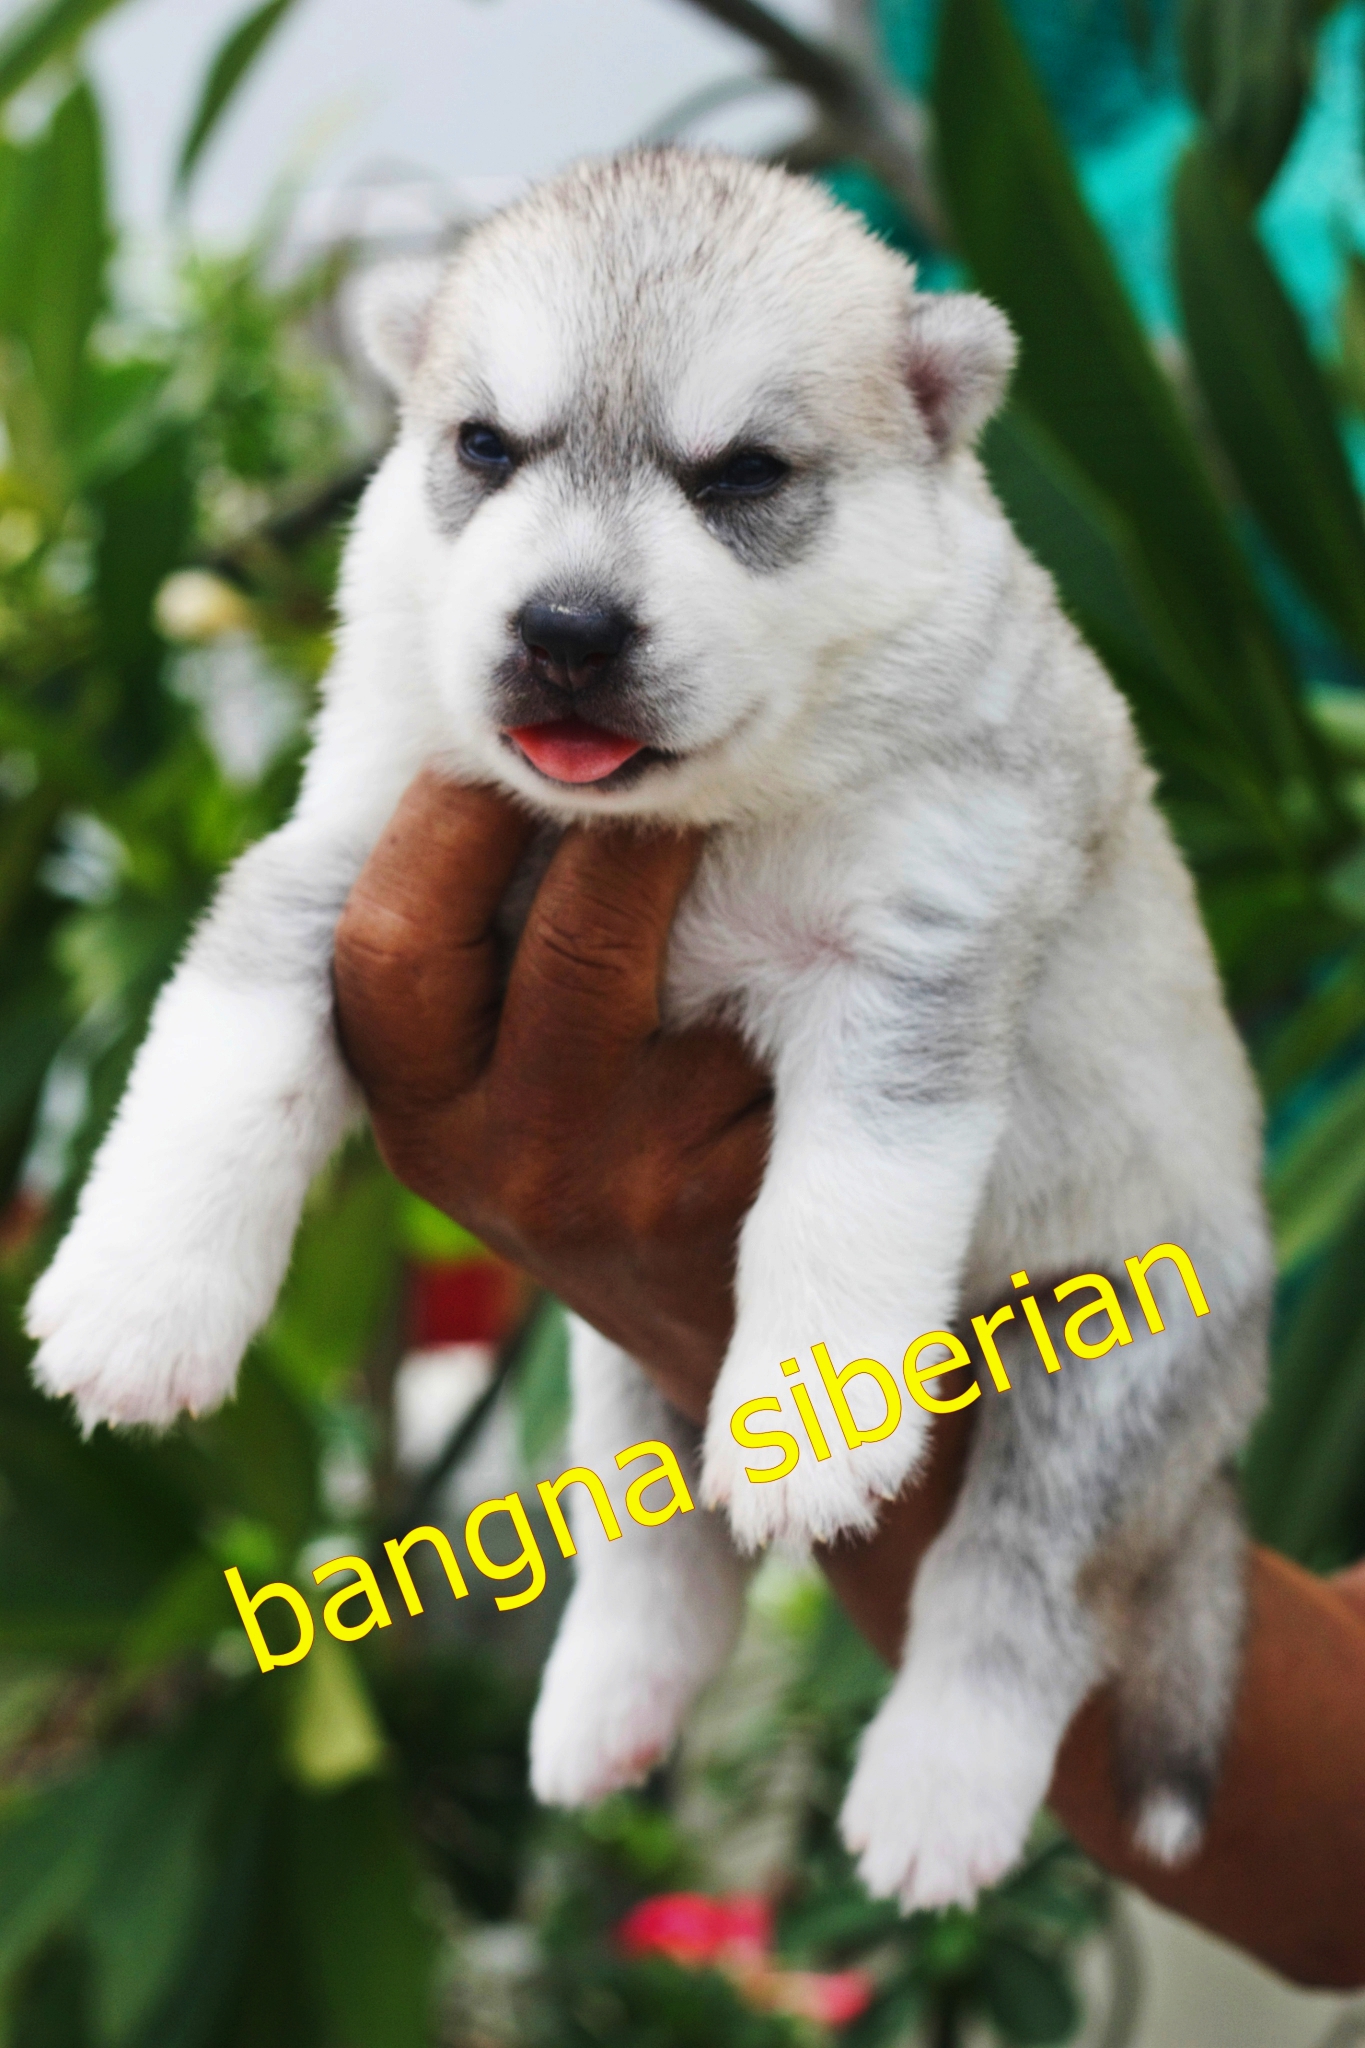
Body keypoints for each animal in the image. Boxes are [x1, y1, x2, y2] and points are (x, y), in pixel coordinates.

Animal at [27, 148, 1270, 1909]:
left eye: (742, 474)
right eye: (484, 447)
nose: (563, 629)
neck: (686, 824)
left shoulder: (914, 955)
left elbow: (843, 1207)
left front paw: (811, 1420)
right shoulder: (336, 859)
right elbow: (218, 1068)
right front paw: (138, 1301)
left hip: (1111, 1360)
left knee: (1016, 1586)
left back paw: (938, 1786)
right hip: (613, 1344)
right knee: (651, 1534)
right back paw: (604, 1704)